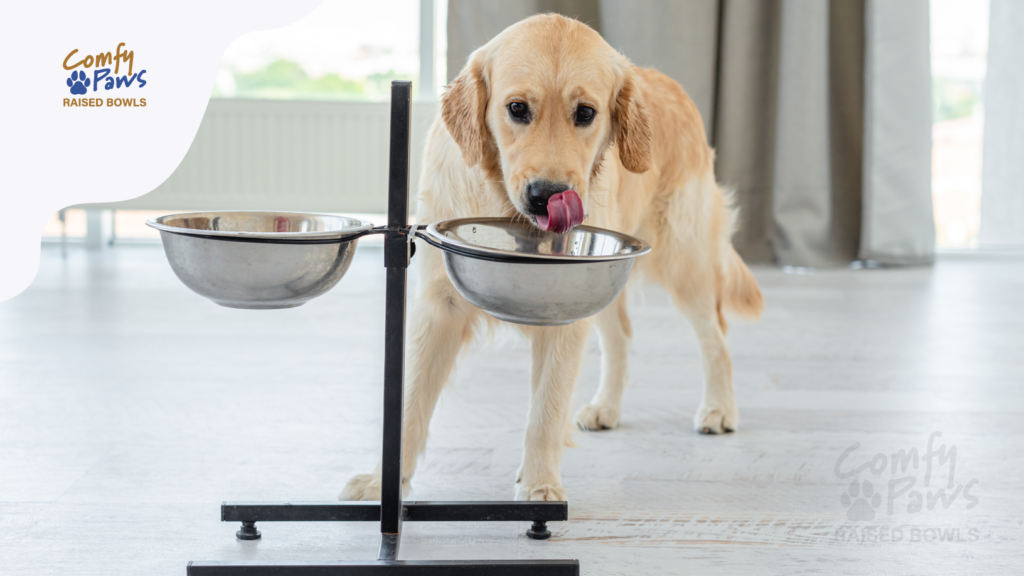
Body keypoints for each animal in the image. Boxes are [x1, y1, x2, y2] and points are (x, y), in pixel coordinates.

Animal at [342, 12, 761, 498]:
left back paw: (719, 409)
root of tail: (674, 88)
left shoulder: (566, 307)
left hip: (683, 259)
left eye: (585, 113)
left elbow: (545, 410)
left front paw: (540, 487)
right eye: (517, 108)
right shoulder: (439, 303)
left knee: (715, 336)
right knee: (622, 335)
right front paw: (381, 483)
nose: (547, 196)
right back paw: (605, 407)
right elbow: (409, 399)